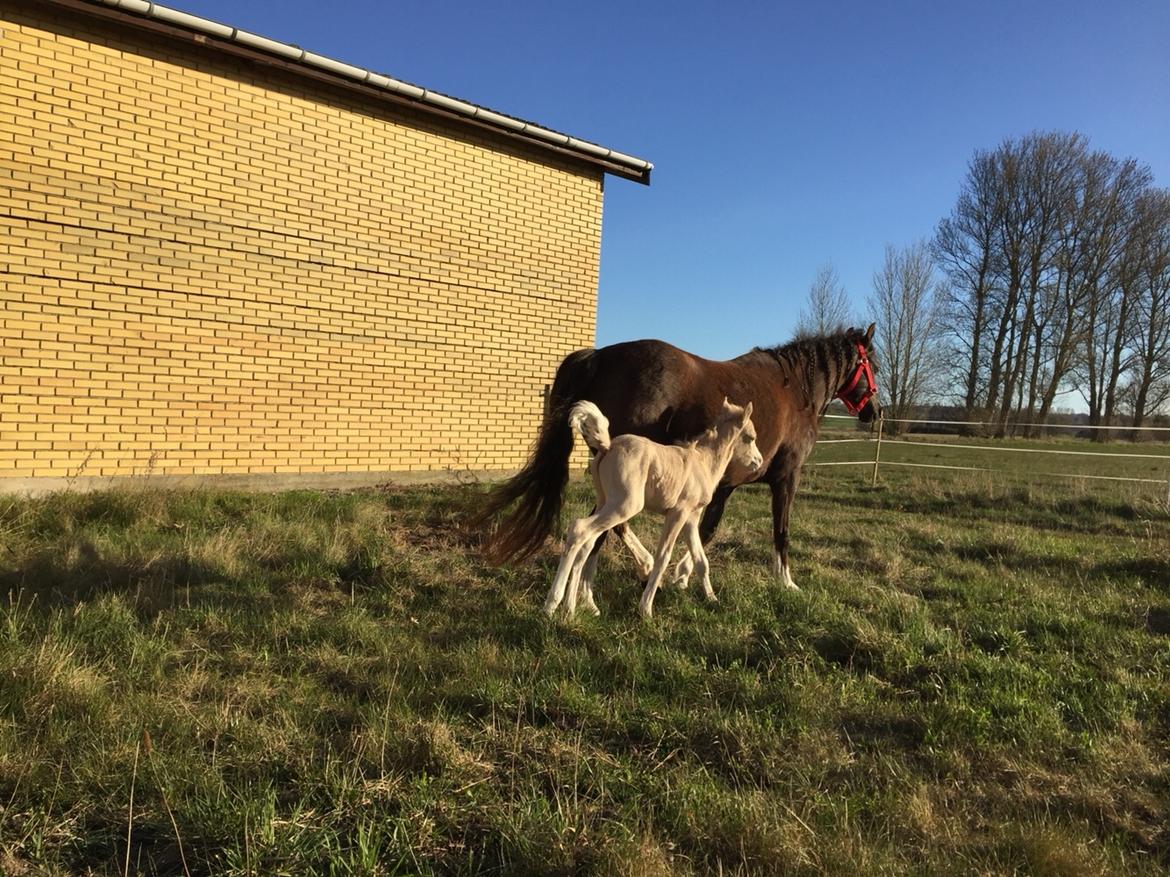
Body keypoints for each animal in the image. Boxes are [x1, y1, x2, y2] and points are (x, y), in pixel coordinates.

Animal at [482, 325, 880, 590]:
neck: (796, 390)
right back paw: (630, 572)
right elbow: (779, 530)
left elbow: (706, 529)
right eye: (872, 364)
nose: (873, 411)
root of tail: (597, 357)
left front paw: (683, 573)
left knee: (607, 526)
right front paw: (786, 582)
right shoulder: (786, 478)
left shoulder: (725, 485)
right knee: (606, 526)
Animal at [544, 398, 763, 620]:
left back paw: (570, 609)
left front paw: (712, 599)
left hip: (605, 501)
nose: (759, 461)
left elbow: (701, 560)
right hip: (625, 505)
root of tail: (607, 447)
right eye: (751, 437)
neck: (704, 463)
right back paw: (551, 605)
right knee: (579, 529)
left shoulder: (692, 518)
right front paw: (646, 609)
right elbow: (663, 557)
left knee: (587, 543)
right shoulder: (678, 512)